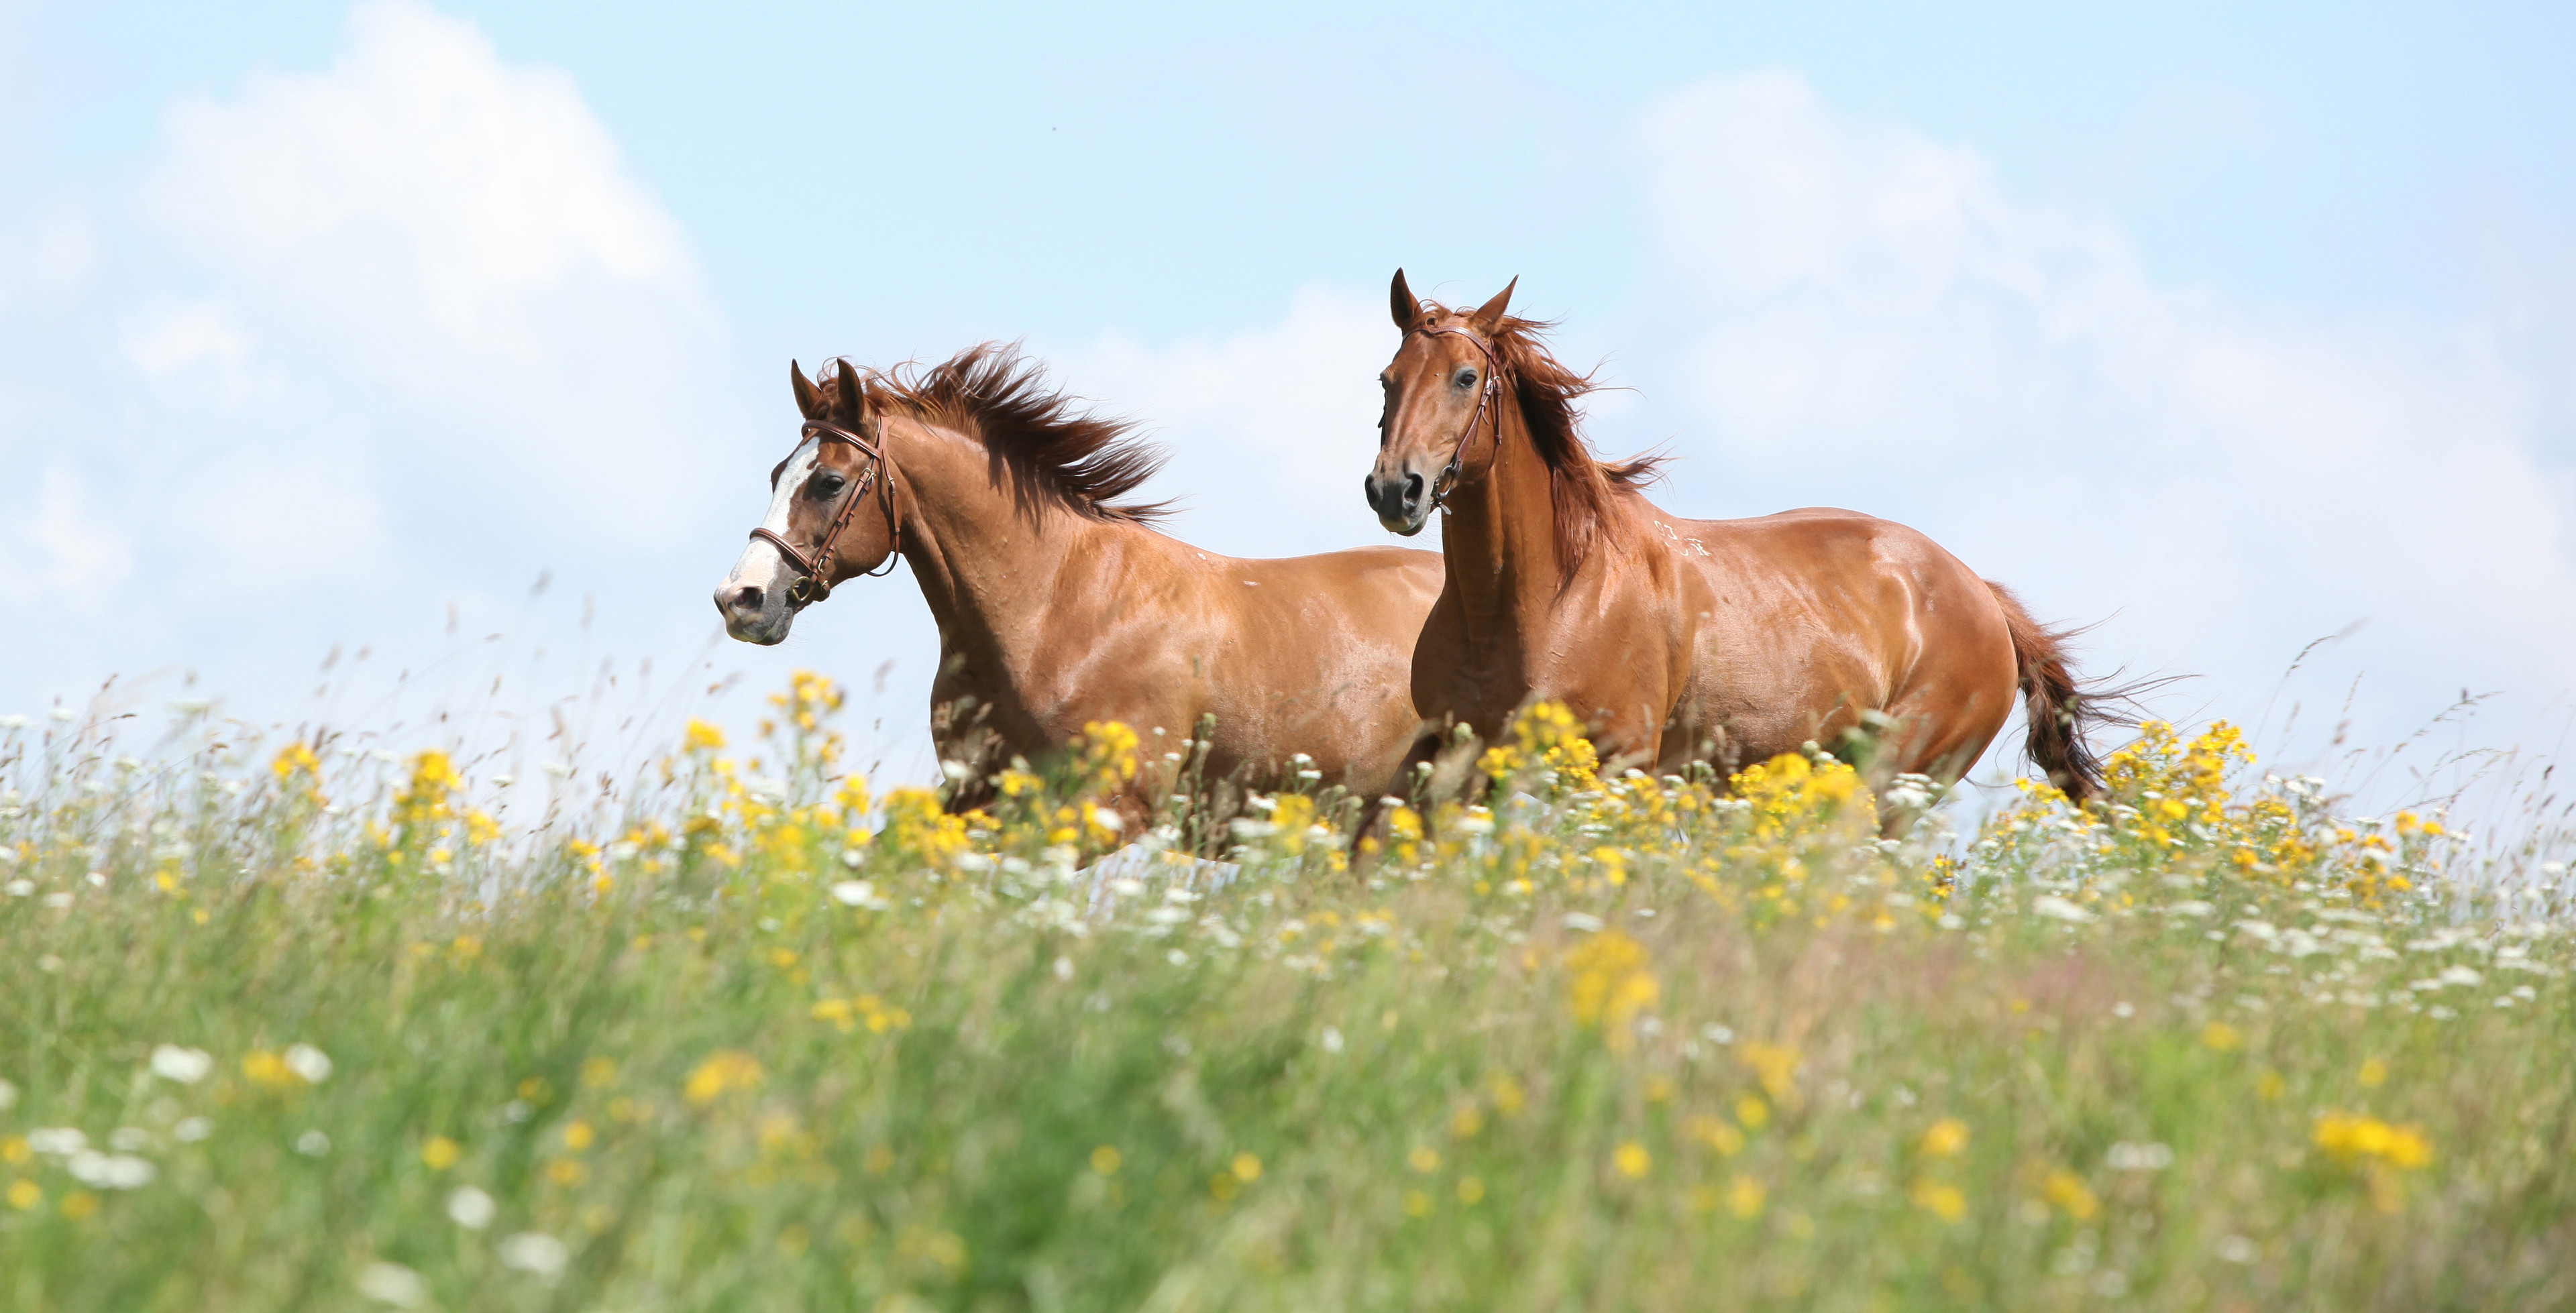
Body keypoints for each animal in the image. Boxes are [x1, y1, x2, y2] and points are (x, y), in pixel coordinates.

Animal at [715, 348, 1444, 815]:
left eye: (829, 481)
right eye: (778, 472)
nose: (740, 600)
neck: (1054, 610)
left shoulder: (1112, 808)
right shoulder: (974, 792)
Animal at [1360, 272, 2105, 808]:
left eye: (1465, 378)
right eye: (1387, 380)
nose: (1395, 489)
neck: (1541, 598)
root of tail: (1982, 593)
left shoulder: (1617, 758)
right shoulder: (1445, 750)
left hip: (1900, 780)